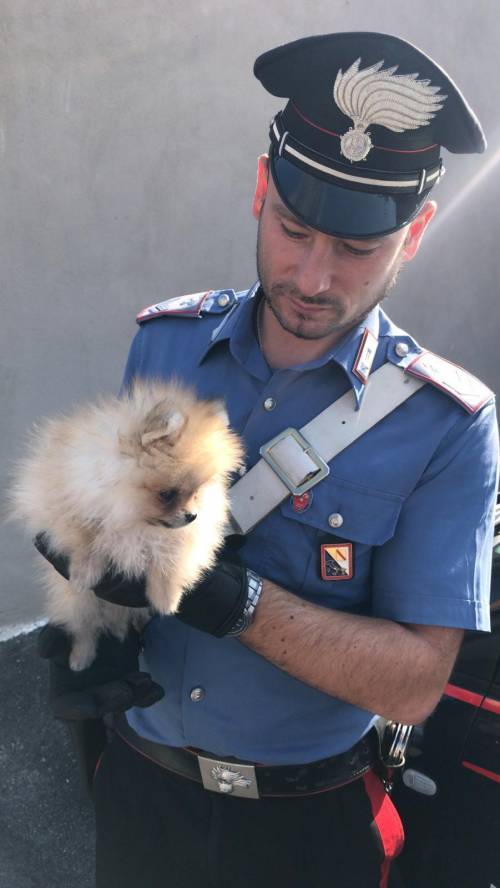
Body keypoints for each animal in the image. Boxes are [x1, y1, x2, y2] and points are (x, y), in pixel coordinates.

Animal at [9, 378, 244, 668]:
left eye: (196, 492)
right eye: (166, 494)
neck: (132, 517)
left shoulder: (187, 536)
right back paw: (81, 657)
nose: (192, 516)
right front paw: (84, 573)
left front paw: (166, 599)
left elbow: (172, 558)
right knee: (85, 628)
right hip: (79, 604)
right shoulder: (63, 504)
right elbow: (85, 537)